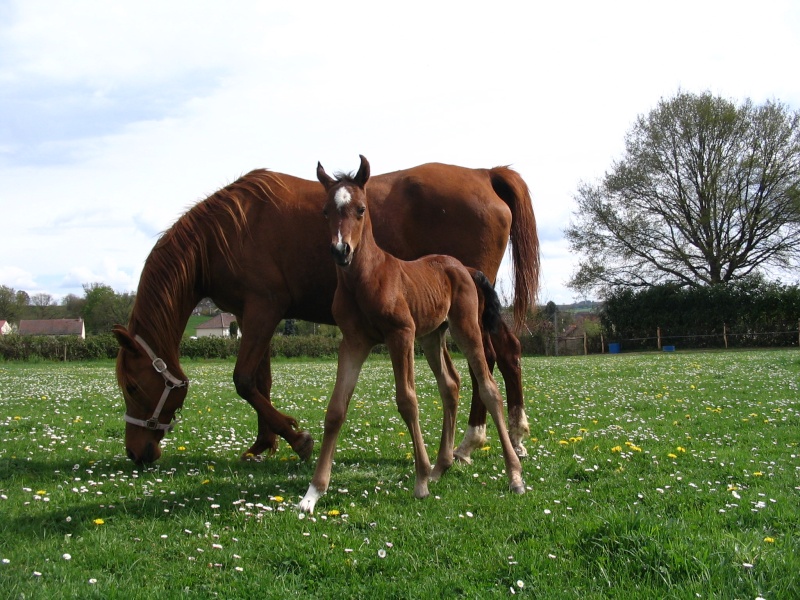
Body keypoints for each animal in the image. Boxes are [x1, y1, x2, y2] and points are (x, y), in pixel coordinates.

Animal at [112, 159, 536, 464]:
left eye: (132, 386)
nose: (136, 452)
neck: (228, 232)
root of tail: (485, 175)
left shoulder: (264, 308)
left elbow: (245, 380)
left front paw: (297, 438)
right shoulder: (253, 315)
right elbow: (261, 381)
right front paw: (263, 444)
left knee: (488, 359)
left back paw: (471, 440)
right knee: (508, 351)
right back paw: (513, 434)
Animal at [300, 157, 524, 512]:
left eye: (361, 209)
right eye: (325, 211)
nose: (340, 250)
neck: (366, 279)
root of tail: (464, 268)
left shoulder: (400, 335)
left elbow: (408, 401)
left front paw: (419, 483)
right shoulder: (354, 342)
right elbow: (336, 409)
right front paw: (312, 494)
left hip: (466, 328)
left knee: (489, 388)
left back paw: (513, 474)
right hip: (432, 337)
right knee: (451, 385)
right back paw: (441, 466)